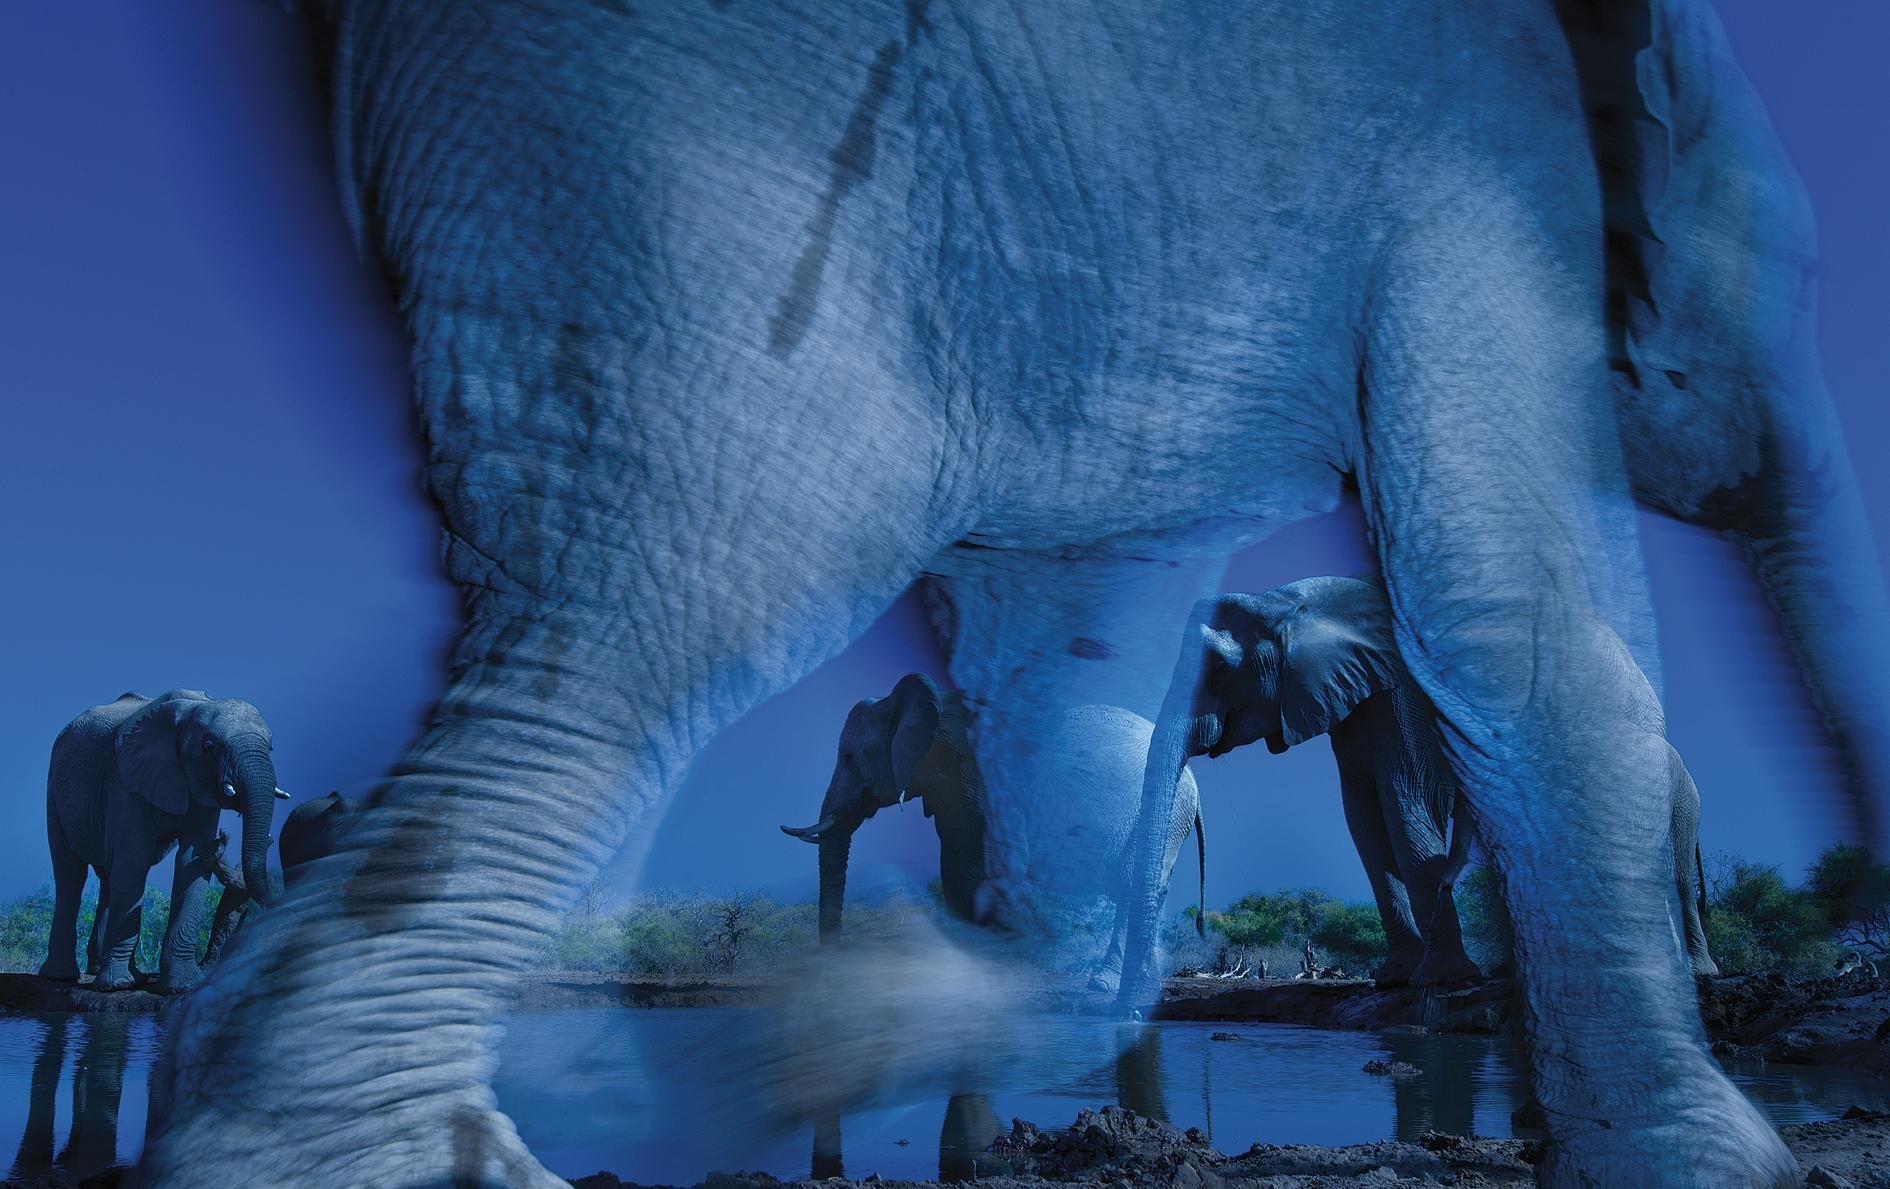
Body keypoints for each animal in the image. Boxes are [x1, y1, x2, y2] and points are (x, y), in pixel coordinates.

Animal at [39, 690, 283, 994]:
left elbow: (192, 860)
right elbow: (133, 857)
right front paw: (118, 986)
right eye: (209, 747)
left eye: (270, 748)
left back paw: (114, 973)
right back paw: (63, 976)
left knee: (109, 875)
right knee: (71, 873)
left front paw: (182, 987)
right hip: (55, 793)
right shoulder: (126, 779)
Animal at [782, 673, 1205, 986]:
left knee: (1133, 884)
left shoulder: (984, 786)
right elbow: (955, 871)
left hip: (1165, 812)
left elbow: (988, 871)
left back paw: (1104, 983)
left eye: (849, 757)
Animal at [1131, 579, 1483, 988]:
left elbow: (1405, 802)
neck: (1289, 607)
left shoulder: (1406, 699)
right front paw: (1394, 977)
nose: (1202, 925)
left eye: (1218, 667)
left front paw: (1441, 979)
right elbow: (1363, 817)